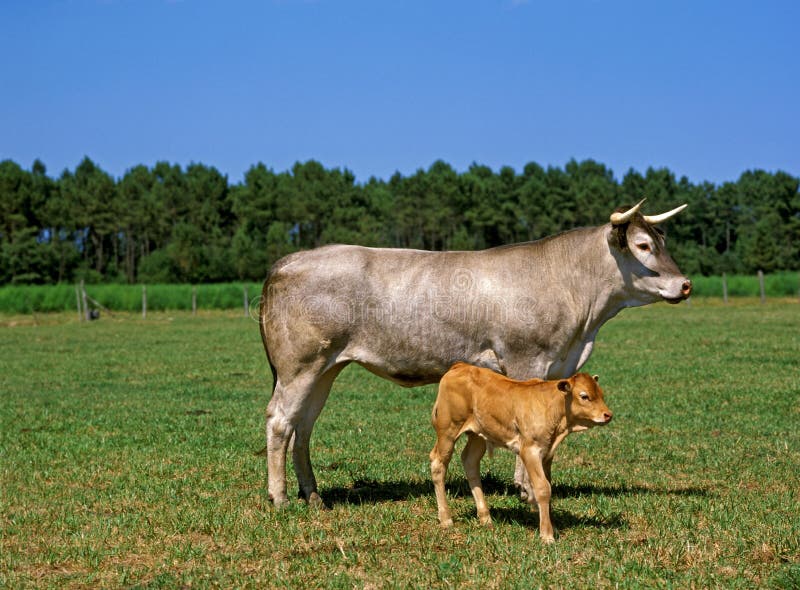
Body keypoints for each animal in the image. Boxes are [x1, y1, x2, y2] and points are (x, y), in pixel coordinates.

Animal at [259, 199, 691, 507]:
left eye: (663, 242)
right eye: (642, 245)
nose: (685, 284)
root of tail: (288, 261)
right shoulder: (525, 359)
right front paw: (527, 490)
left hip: (325, 368)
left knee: (303, 426)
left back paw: (314, 496)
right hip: (300, 366)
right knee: (280, 421)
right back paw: (280, 498)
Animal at [430, 363, 612, 543]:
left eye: (601, 394)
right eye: (584, 396)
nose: (608, 415)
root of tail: (459, 366)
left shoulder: (547, 453)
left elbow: (548, 484)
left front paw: (552, 525)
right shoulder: (530, 450)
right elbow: (543, 488)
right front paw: (547, 534)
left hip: (478, 435)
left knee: (470, 462)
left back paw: (485, 517)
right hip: (448, 430)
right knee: (438, 464)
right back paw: (446, 519)